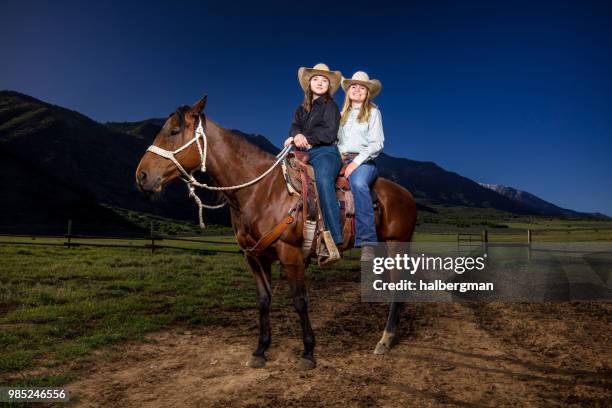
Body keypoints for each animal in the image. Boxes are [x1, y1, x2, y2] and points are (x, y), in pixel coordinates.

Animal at [136, 95, 418, 370]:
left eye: (173, 131)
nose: (142, 176)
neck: (260, 190)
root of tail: (406, 194)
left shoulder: (291, 255)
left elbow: (300, 300)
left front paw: (308, 352)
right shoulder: (254, 256)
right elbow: (263, 300)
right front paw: (260, 350)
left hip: (397, 244)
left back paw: (386, 339)